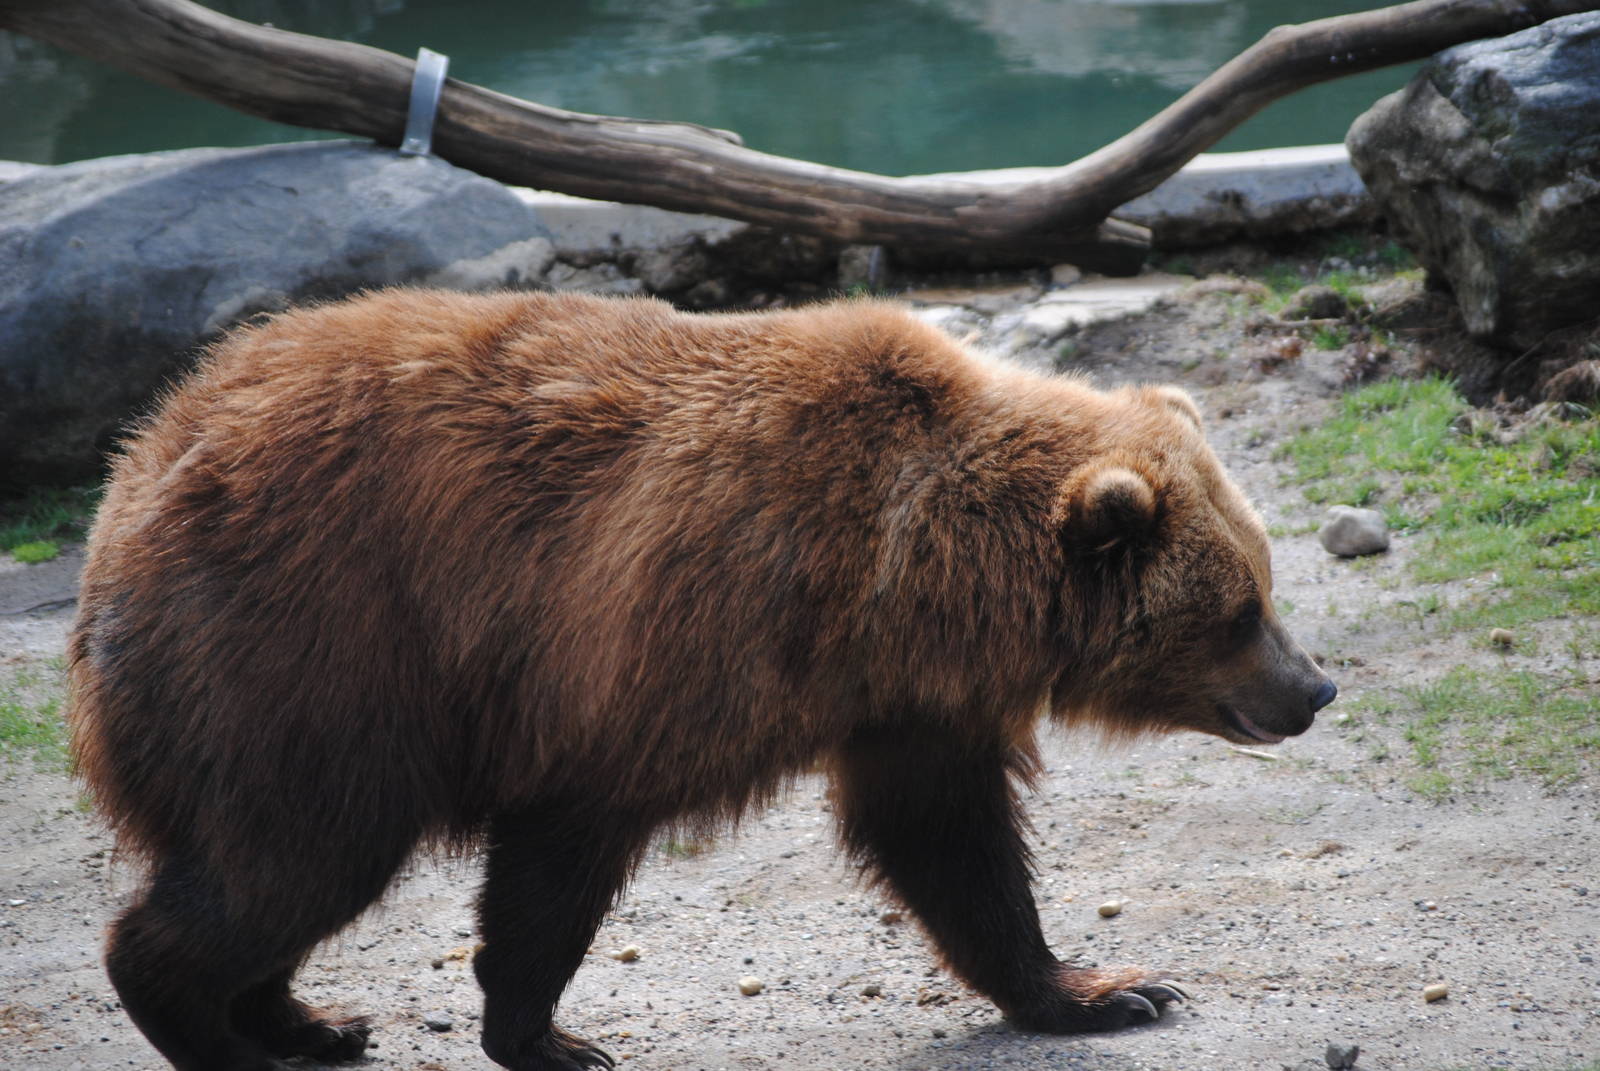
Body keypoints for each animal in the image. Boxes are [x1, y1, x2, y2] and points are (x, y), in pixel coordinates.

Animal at [69, 289, 1336, 1071]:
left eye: (1264, 581)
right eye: (1239, 611)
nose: (1313, 690)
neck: (905, 572)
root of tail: (134, 475)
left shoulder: (905, 703)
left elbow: (952, 848)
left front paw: (1106, 989)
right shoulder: (654, 649)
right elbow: (558, 861)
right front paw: (550, 1036)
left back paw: (312, 1020)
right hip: (312, 652)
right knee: (293, 856)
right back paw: (216, 1029)